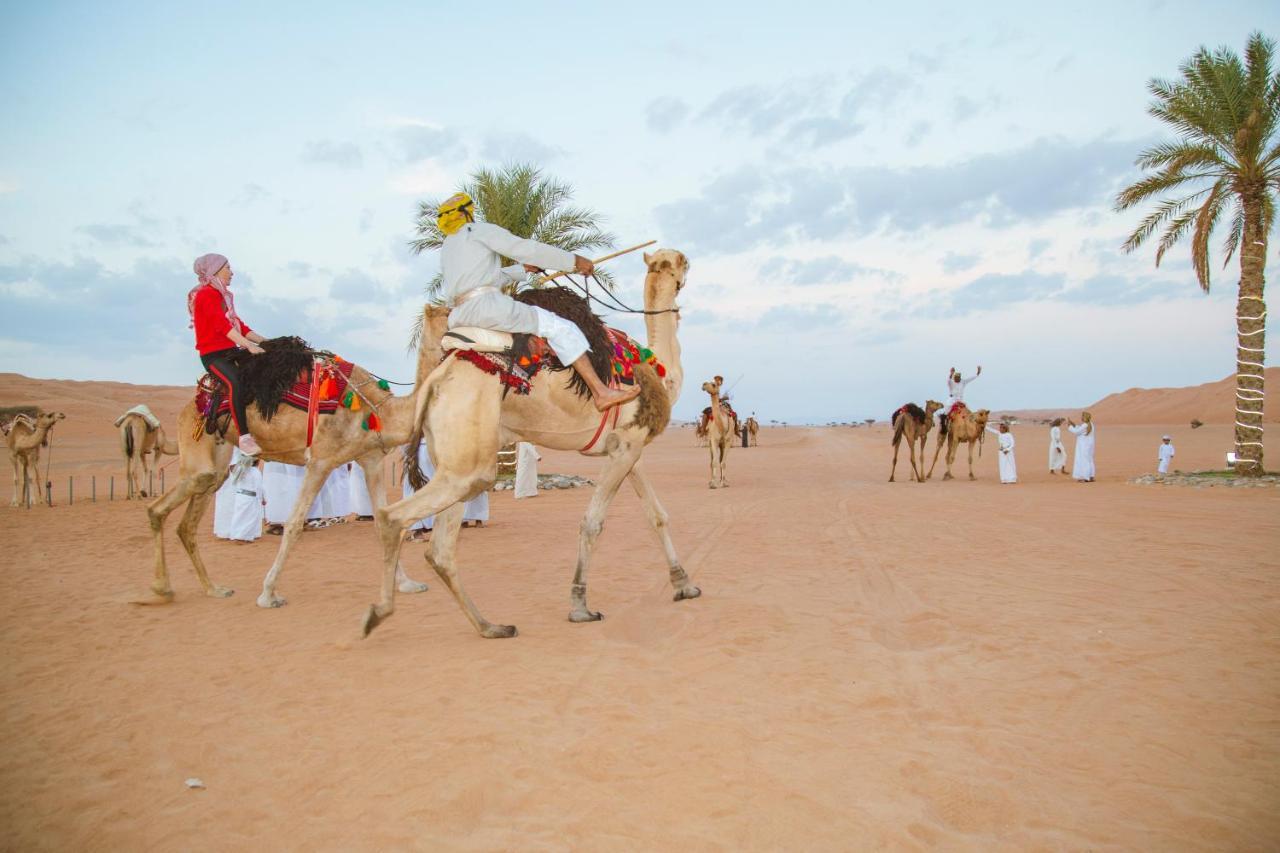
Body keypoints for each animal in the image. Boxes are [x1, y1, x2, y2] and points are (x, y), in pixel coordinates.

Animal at [136, 306, 450, 604]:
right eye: (449, 314)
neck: (379, 410)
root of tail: (198, 398)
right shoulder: (320, 461)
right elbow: (294, 524)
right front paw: (268, 593)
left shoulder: (370, 460)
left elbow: (383, 523)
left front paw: (408, 584)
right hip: (196, 442)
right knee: (162, 506)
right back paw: (161, 589)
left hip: (218, 453)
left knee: (188, 520)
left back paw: (212, 589)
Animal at [360, 247, 701, 637]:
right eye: (680, 263)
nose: (688, 262)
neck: (658, 369)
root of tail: (436, 380)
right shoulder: (626, 447)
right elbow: (592, 523)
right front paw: (580, 606)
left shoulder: (631, 448)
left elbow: (656, 516)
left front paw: (684, 585)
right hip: (469, 460)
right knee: (393, 518)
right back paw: (378, 613)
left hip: (455, 460)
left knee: (440, 549)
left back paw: (490, 626)